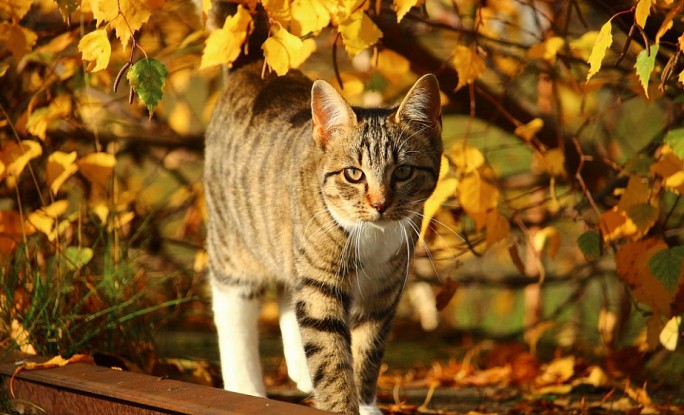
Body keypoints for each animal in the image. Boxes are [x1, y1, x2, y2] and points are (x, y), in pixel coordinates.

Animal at [203, 62, 444, 415]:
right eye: (353, 174)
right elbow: (330, 355)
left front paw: (366, 404)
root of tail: (252, 67)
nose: (380, 204)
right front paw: (341, 404)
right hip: (234, 244)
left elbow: (366, 351)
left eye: (403, 172)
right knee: (233, 310)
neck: (372, 235)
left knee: (290, 294)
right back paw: (246, 388)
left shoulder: (384, 291)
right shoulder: (321, 279)